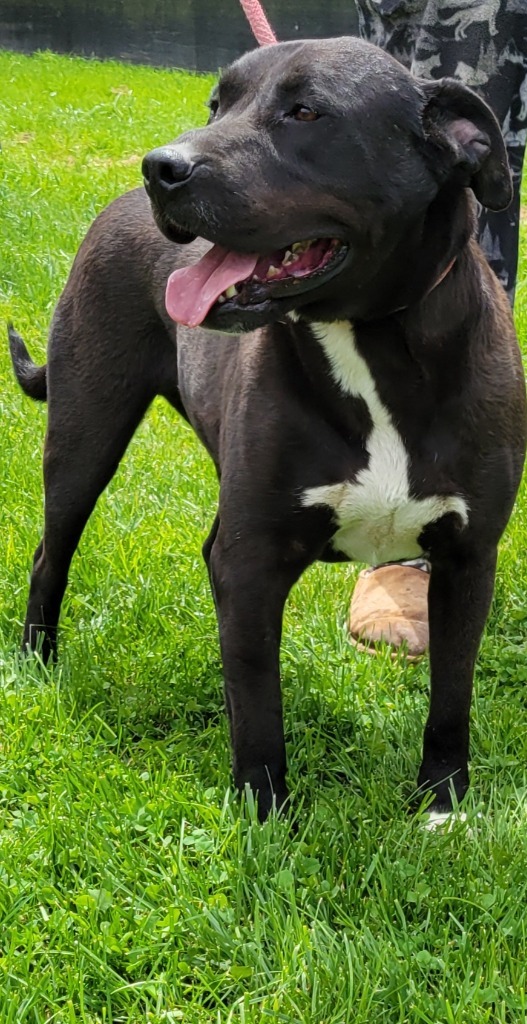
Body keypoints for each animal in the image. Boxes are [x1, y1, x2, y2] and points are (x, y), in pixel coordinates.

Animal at [9, 39, 527, 819]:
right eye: (215, 105)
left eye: (306, 112)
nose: (160, 167)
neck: (371, 342)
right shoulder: (250, 561)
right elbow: (259, 704)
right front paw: (265, 816)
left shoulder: (468, 558)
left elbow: (450, 697)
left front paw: (440, 805)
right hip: (83, 433)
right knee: (50, 555)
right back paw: (36, 663)